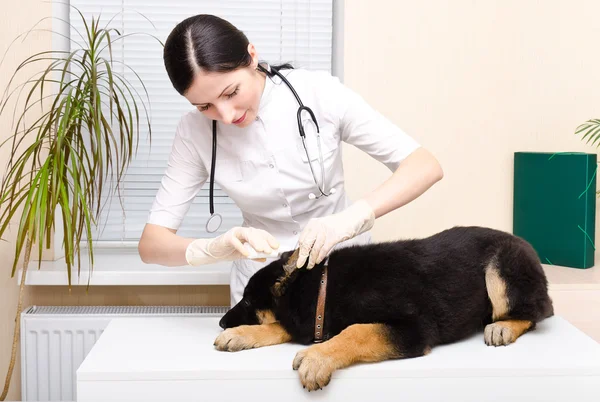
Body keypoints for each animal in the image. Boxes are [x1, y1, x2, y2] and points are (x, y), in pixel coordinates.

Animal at [214, 228, 552, 392]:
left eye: (247, 301)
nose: (220, 322)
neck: (324, 287)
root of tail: (526, 244)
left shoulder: (414, 328)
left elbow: (356, 331)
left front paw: (317, 358)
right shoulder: (311, 322)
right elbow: (276, 327)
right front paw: (239, 335)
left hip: (499, 270)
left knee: (537, 312)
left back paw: (504, 326)